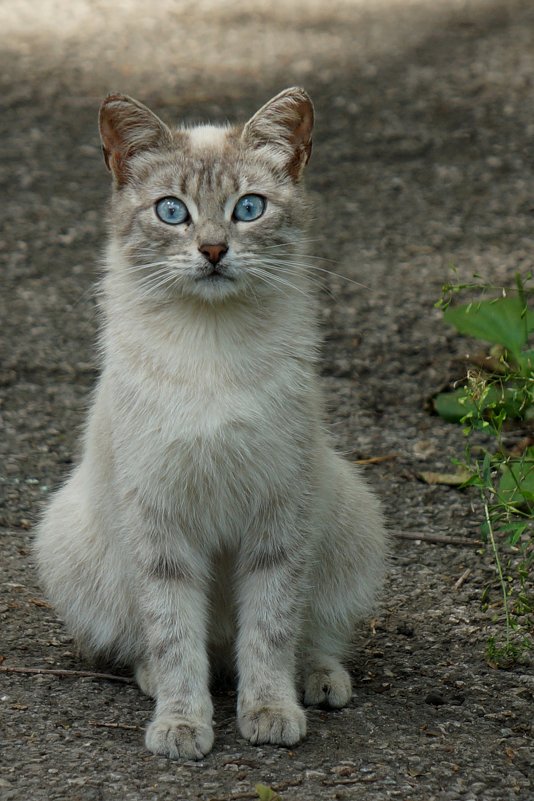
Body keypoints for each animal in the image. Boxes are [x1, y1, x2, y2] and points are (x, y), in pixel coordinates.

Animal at [35, 87, 390, 756]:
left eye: (248, 208)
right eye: (172, 211)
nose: (213, 250)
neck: (212, 347)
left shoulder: (280, 515)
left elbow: (272, 628)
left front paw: (270, 712)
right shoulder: (160, 523)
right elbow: (175, 633)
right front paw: (181, 725)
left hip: (352, 514)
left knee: (311, 635)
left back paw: (318, 682)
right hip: (65, 540)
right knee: (156, 644)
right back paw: (160, 681)